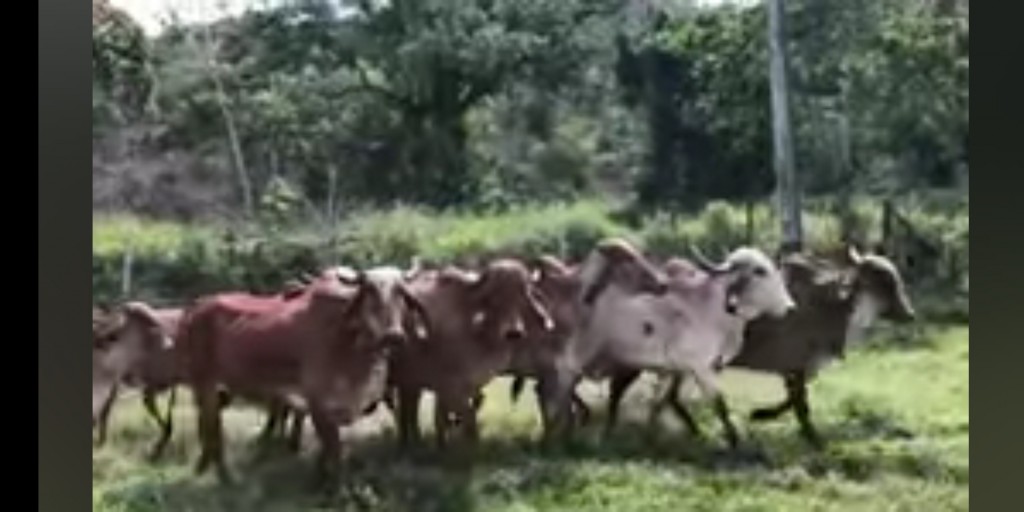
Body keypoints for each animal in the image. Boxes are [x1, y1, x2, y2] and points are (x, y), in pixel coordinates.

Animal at [175, 264, 429, 485]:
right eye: (369, 292)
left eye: (400, 293)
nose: (393, 336)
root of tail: (198, 306)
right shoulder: (317, 402)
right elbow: (334, 451)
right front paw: (335, 488)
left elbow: (327, 450)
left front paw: (319, 478)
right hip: (203, 380)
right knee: (212, 426)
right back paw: (224, 476)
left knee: (209, 424)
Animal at [540, 245, 797, 448]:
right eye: (759, 271)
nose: (790, 307)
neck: (709, 309)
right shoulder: (701, 368)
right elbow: (719, 404)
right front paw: (735, 441)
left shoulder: (677, 370)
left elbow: (664, 402)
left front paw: (660, 435)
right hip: (579, 355)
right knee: (559, 383)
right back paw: (559, 434)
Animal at [603, 245, 916, 448]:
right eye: (884, 283)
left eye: (895, 280)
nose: (910, 315)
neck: (831, 306)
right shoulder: (795, 365)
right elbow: (799, 403)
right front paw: (806, 434)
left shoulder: (799, 368)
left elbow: (795, 400)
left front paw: (766, 417)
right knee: (622, 387)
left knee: (669, 398)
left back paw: (691, 432)